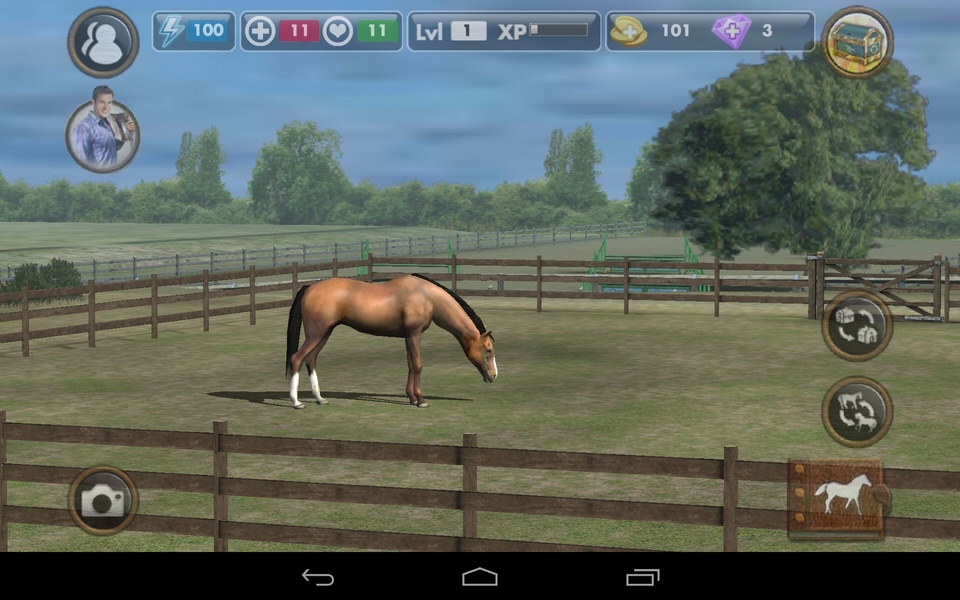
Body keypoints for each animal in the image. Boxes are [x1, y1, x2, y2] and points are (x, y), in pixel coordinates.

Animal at [285, 273, 497, 409]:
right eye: (488, 350)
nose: (494, 376)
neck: (426, 296)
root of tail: (309, 288)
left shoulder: (408, 336)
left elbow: (410, 365)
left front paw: (411, 398)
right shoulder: (414, 334)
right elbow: (418, 365)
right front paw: (421, 400)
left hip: (324, 333)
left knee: (310, 359)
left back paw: (320, 399)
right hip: (317, 334)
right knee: (297, 358)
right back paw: (297, 402)